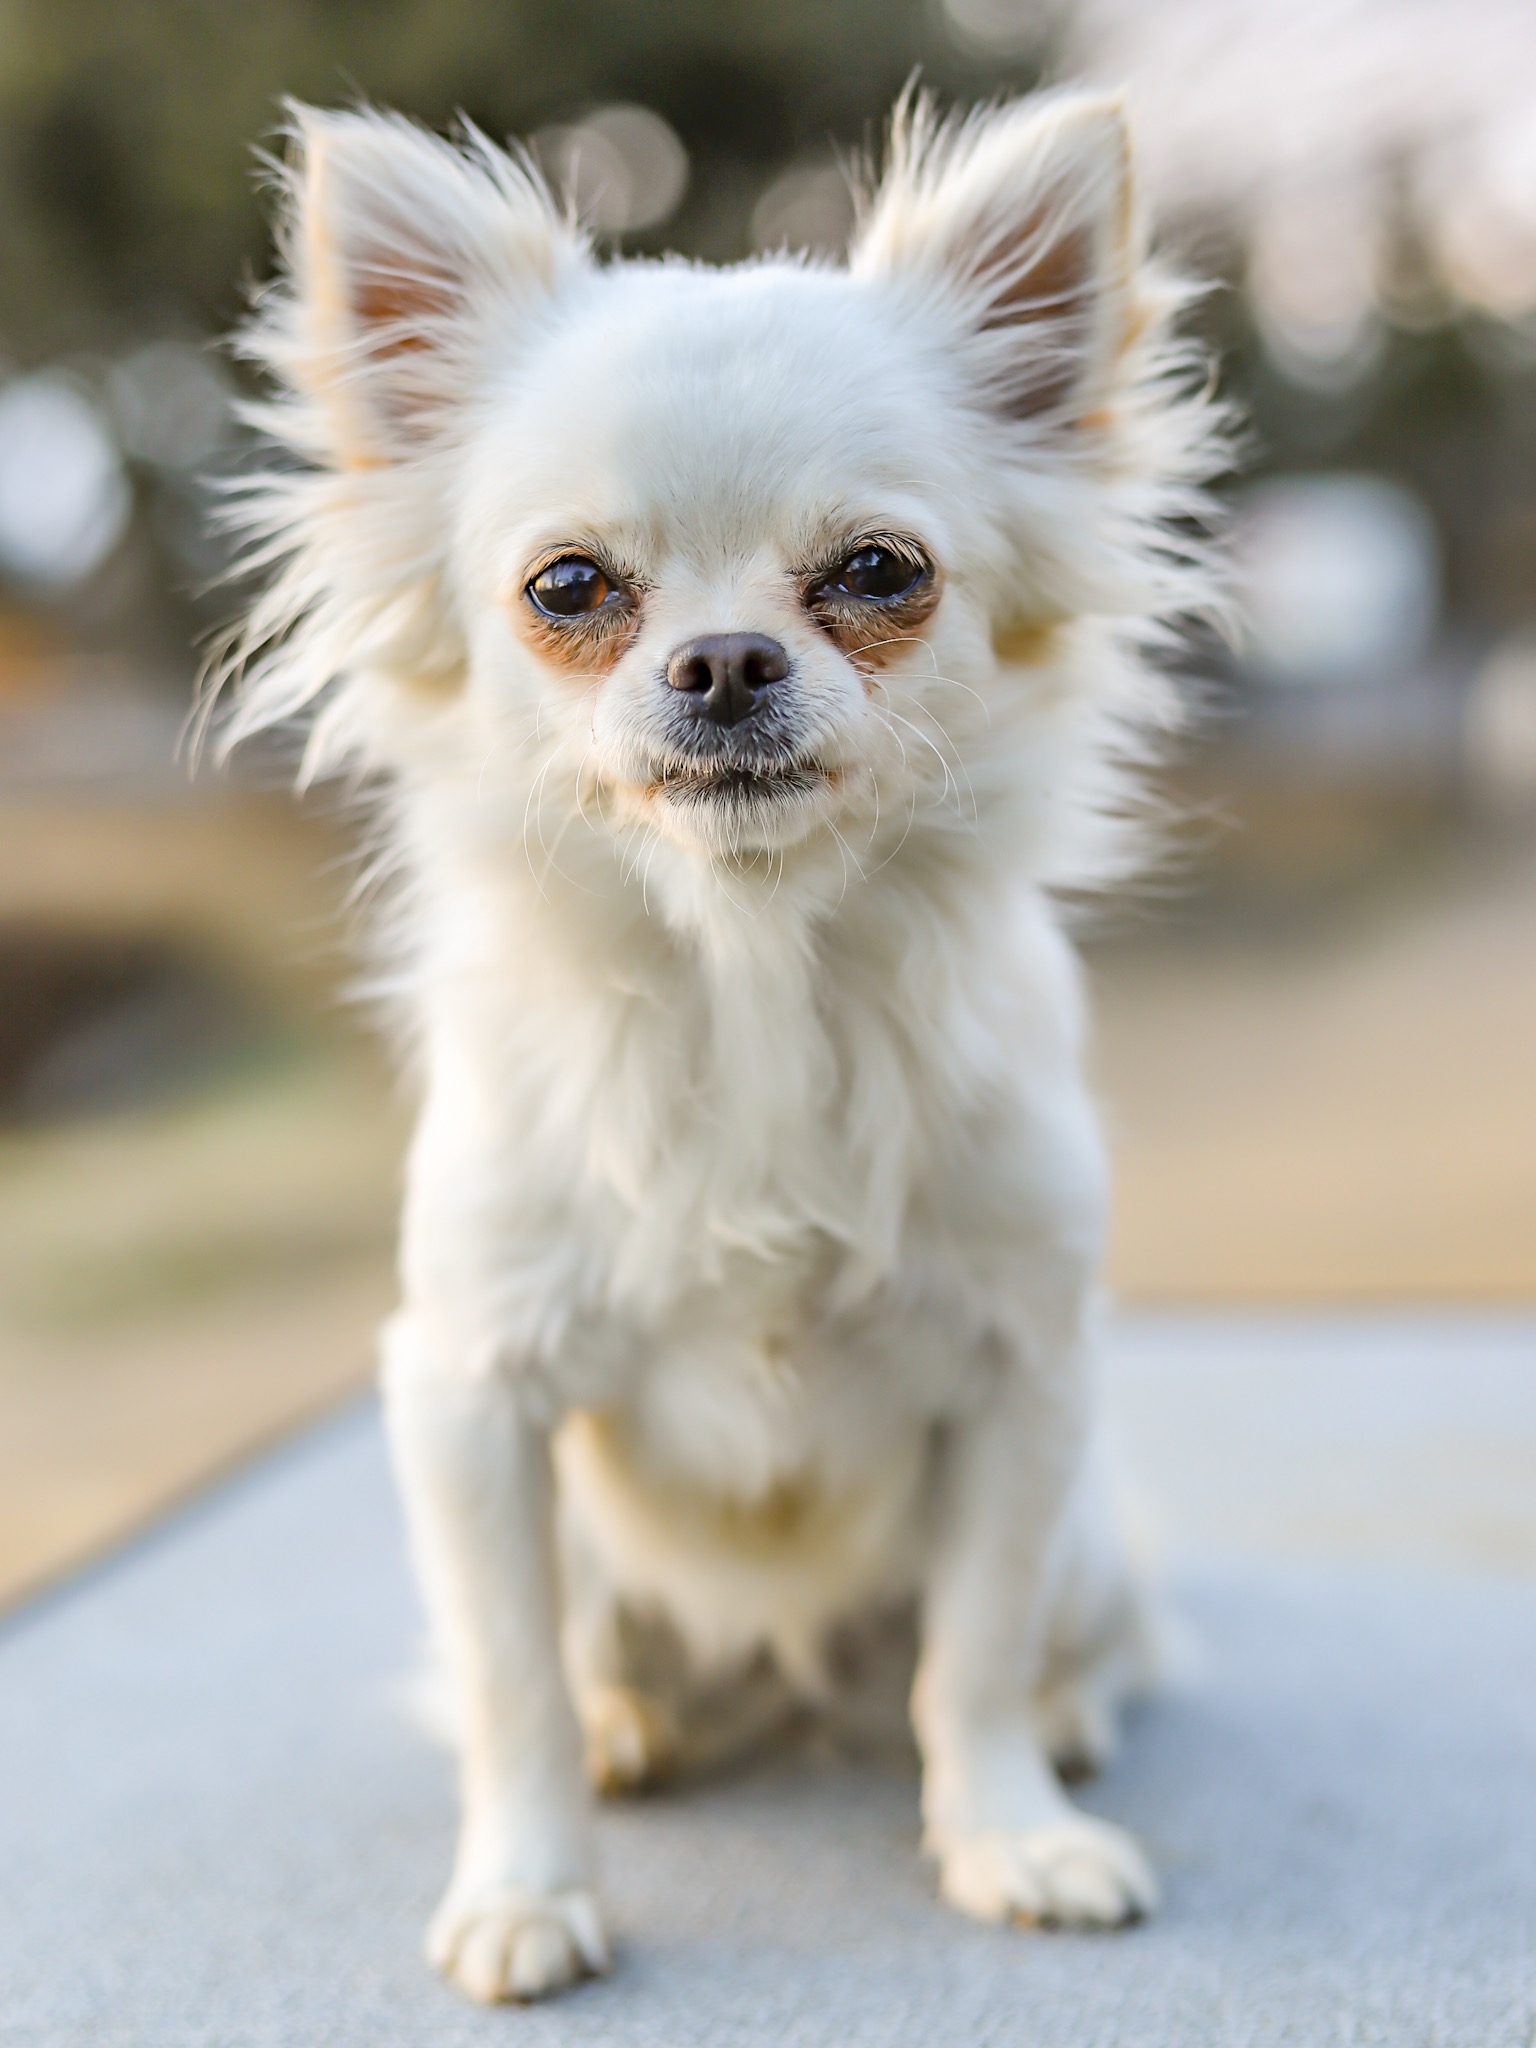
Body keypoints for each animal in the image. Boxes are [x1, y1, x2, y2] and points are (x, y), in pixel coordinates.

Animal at [221, 86, 1223, 2003]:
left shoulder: (1025, 1379)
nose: (727, 659)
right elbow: (512, 1688)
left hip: (1087, 1531)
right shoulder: (469, 1396)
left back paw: (1065, 1728)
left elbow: (970, 1655)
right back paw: (634, 1728)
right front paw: (528, 1887)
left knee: (1066, 1642)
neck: (751, 972)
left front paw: (1005, 1835)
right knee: (573, 1664)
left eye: (879, 574)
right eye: (568, 587)